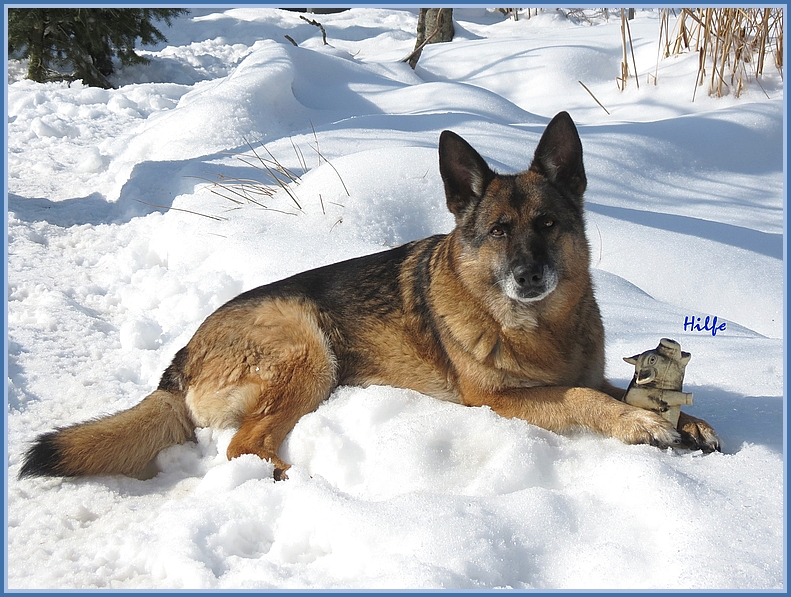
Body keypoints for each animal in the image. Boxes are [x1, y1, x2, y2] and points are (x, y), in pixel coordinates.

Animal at [20, 114, 724, 482]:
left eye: (548, 225)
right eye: (499, 231)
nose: (528, 278)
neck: (536, 327)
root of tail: (181, 358)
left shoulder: (581, 370)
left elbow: (609, 388)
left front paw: (684, 421)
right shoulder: (499, 400)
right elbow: (584, 398)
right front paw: (641, 425)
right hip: (308, 348)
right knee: (242, 446)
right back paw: (296, 484)